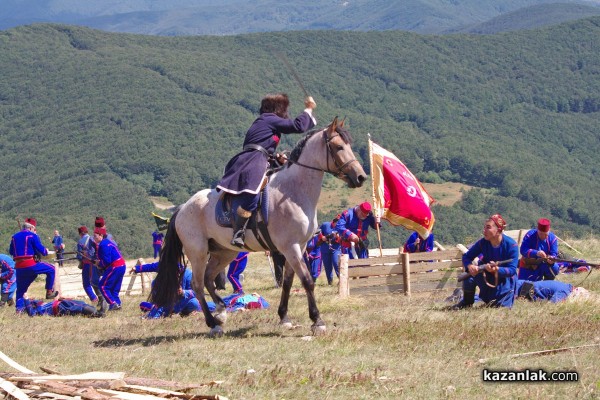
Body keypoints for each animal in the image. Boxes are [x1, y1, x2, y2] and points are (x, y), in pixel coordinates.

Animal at [151, 116, 366, 338]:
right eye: (339, 147)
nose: (361, 177)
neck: (294, 192)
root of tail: (183, 208)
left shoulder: (299, 246)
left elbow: (288, 282)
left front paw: (284, 318)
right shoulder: (291, 247)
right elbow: (307, 280)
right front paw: (317, 321)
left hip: (224, 252)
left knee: (209, 279)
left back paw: (221, 313)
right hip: (198, 252)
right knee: (198, 284)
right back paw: (212, 323)